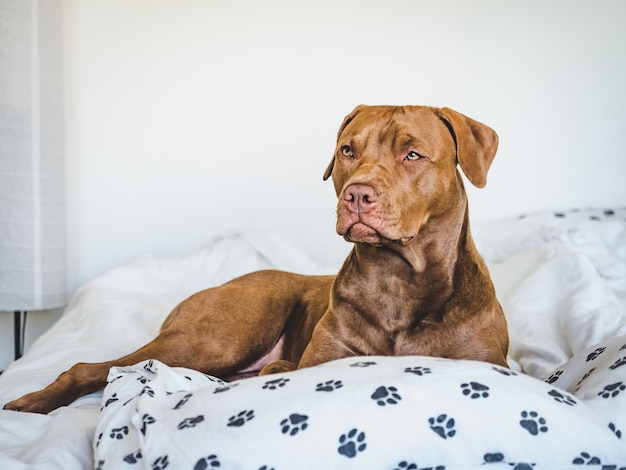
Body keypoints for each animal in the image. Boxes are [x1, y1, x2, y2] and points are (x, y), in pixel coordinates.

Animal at [3, 104, 508, 414]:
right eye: (348, 150)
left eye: (413, 154)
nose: (357, 194)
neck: (398, 279)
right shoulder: (325, 360)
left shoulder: (485, 363)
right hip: (219, 336)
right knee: (93, 367)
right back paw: (32, 403)